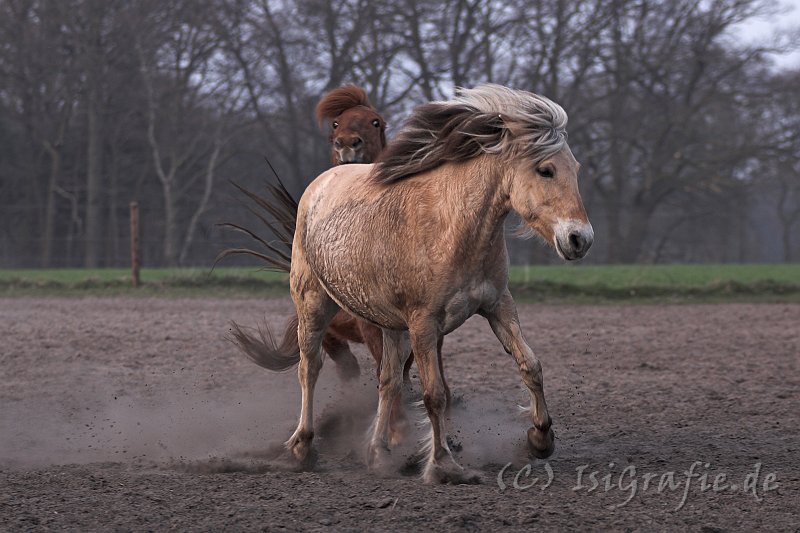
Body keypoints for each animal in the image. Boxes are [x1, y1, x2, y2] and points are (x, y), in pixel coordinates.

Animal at [272, 83, 592, 482]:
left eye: (574, 169)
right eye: (545, 170)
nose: (580, 239)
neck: (454, 227)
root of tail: (319, 185)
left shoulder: (498, 305)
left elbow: (530, 365)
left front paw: (540, 439)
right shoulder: (424, 323)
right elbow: (434, 394)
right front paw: (443, 465)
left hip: (389, 324)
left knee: (388, 380)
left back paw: (378, 453)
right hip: (314, 303)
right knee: (310, 368)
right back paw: (302, 446)